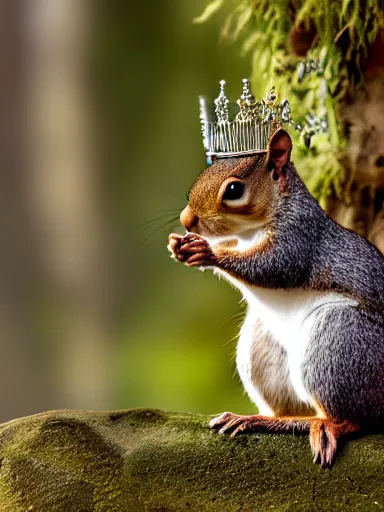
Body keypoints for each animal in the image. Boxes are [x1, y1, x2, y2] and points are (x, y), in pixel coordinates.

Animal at [170, 129, 384, 468]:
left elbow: (274, 266)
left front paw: (209, 252)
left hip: (339, 341)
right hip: (261, 347)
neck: (251, 231)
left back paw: (328, 427)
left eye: (234, 189)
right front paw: (183, 246)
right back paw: (261, 420)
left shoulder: (299, 238)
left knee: (356, 420)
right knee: (291, 413)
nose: (187, 219)